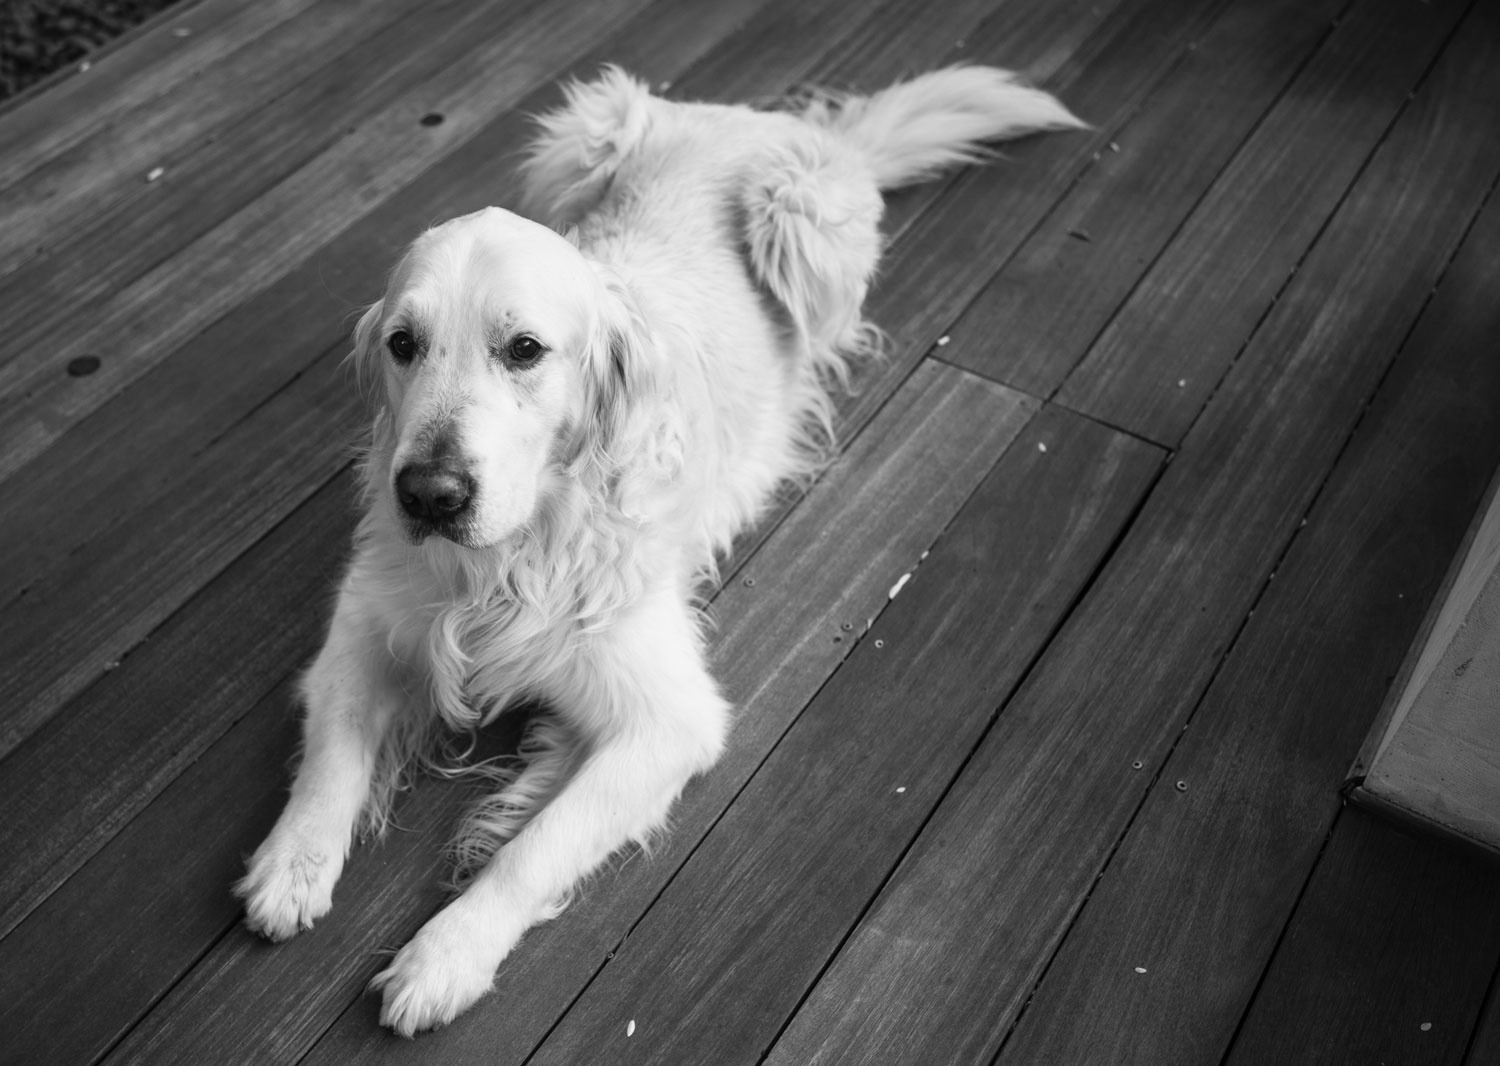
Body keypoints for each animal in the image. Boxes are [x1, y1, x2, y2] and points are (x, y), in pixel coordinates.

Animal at [234, 64, 1082, 1035]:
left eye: (524, 349)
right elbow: (332, 757)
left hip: (798, 221)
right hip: (576, 142)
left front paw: (445, 954)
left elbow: (537, 847)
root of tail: (755, 118)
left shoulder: (669, 721)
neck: (516, 553)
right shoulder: (361, 630)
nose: (429, 495)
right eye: (401, 344)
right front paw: (290, 864)